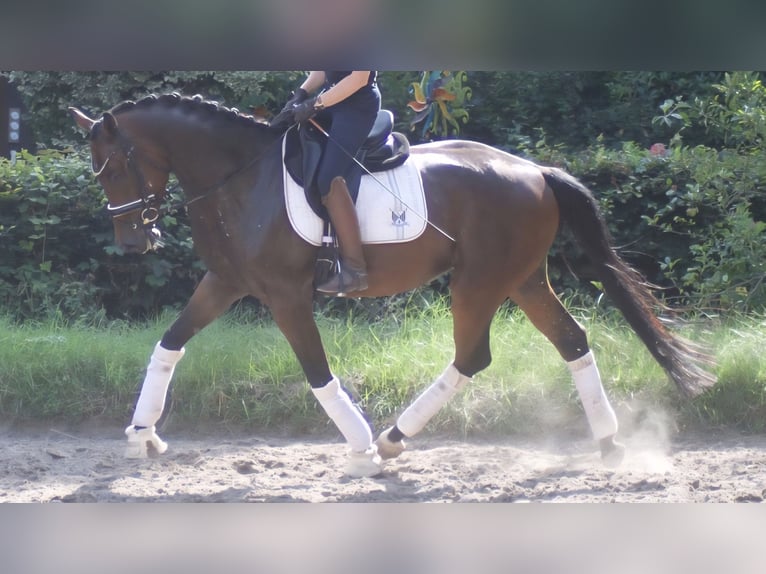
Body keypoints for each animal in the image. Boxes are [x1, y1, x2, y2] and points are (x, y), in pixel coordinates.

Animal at [70, 93, 716, 478]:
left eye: (116, 165)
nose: (133, 241)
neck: (239, 178)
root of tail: (535, 170)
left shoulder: (285, 295)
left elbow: (317, 373)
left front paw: (357, 447)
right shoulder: (225, 282)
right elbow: (169, 344)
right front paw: (142, 435)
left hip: (478, 281)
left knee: (473, 356)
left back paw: (389, 440)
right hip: (523, 279)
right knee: (572, 341)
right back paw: (608, 443)